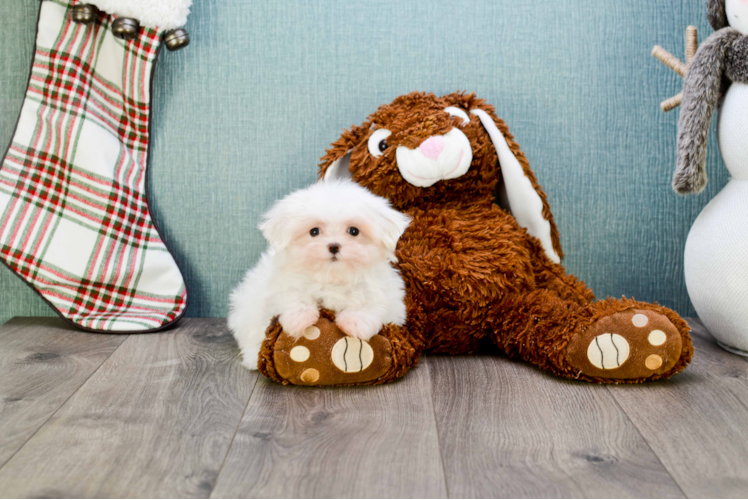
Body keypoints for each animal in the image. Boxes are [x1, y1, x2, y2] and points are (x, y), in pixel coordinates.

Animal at [229, 179, 412, 368]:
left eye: (354, 231)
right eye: (314, 231)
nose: (334, 246)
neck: (331, 277)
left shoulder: (387, 296)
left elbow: (373, 304)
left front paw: (355, 323)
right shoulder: (279, 285)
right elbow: (291, 296)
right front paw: (299, 319)